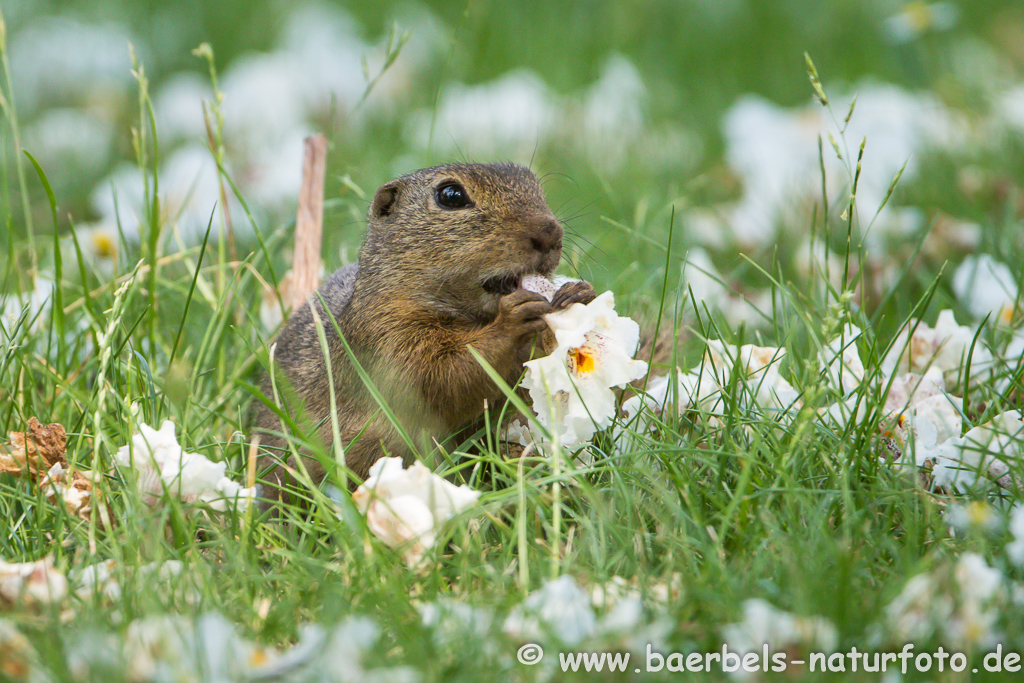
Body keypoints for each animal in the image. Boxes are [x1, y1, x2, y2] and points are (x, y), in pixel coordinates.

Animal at [250, 160, 598, 501]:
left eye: (533, 183)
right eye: (451, 195)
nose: (551, 232)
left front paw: (579, 294)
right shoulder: (385, 338)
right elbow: (443, 376)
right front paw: (513, 320)